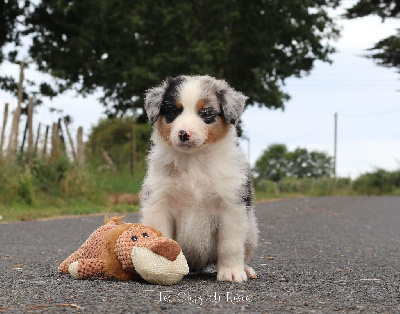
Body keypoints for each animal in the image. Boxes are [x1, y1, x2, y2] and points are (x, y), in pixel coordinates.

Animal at [141, 75, 258, 282]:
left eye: (206, 113)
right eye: (173, 111)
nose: (183, 133)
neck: (193, 160)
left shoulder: (232, 206)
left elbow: (230, 245)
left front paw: (231, 272)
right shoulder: (159, 203)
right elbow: (161, 238)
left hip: (251, 229)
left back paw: (245, 269)